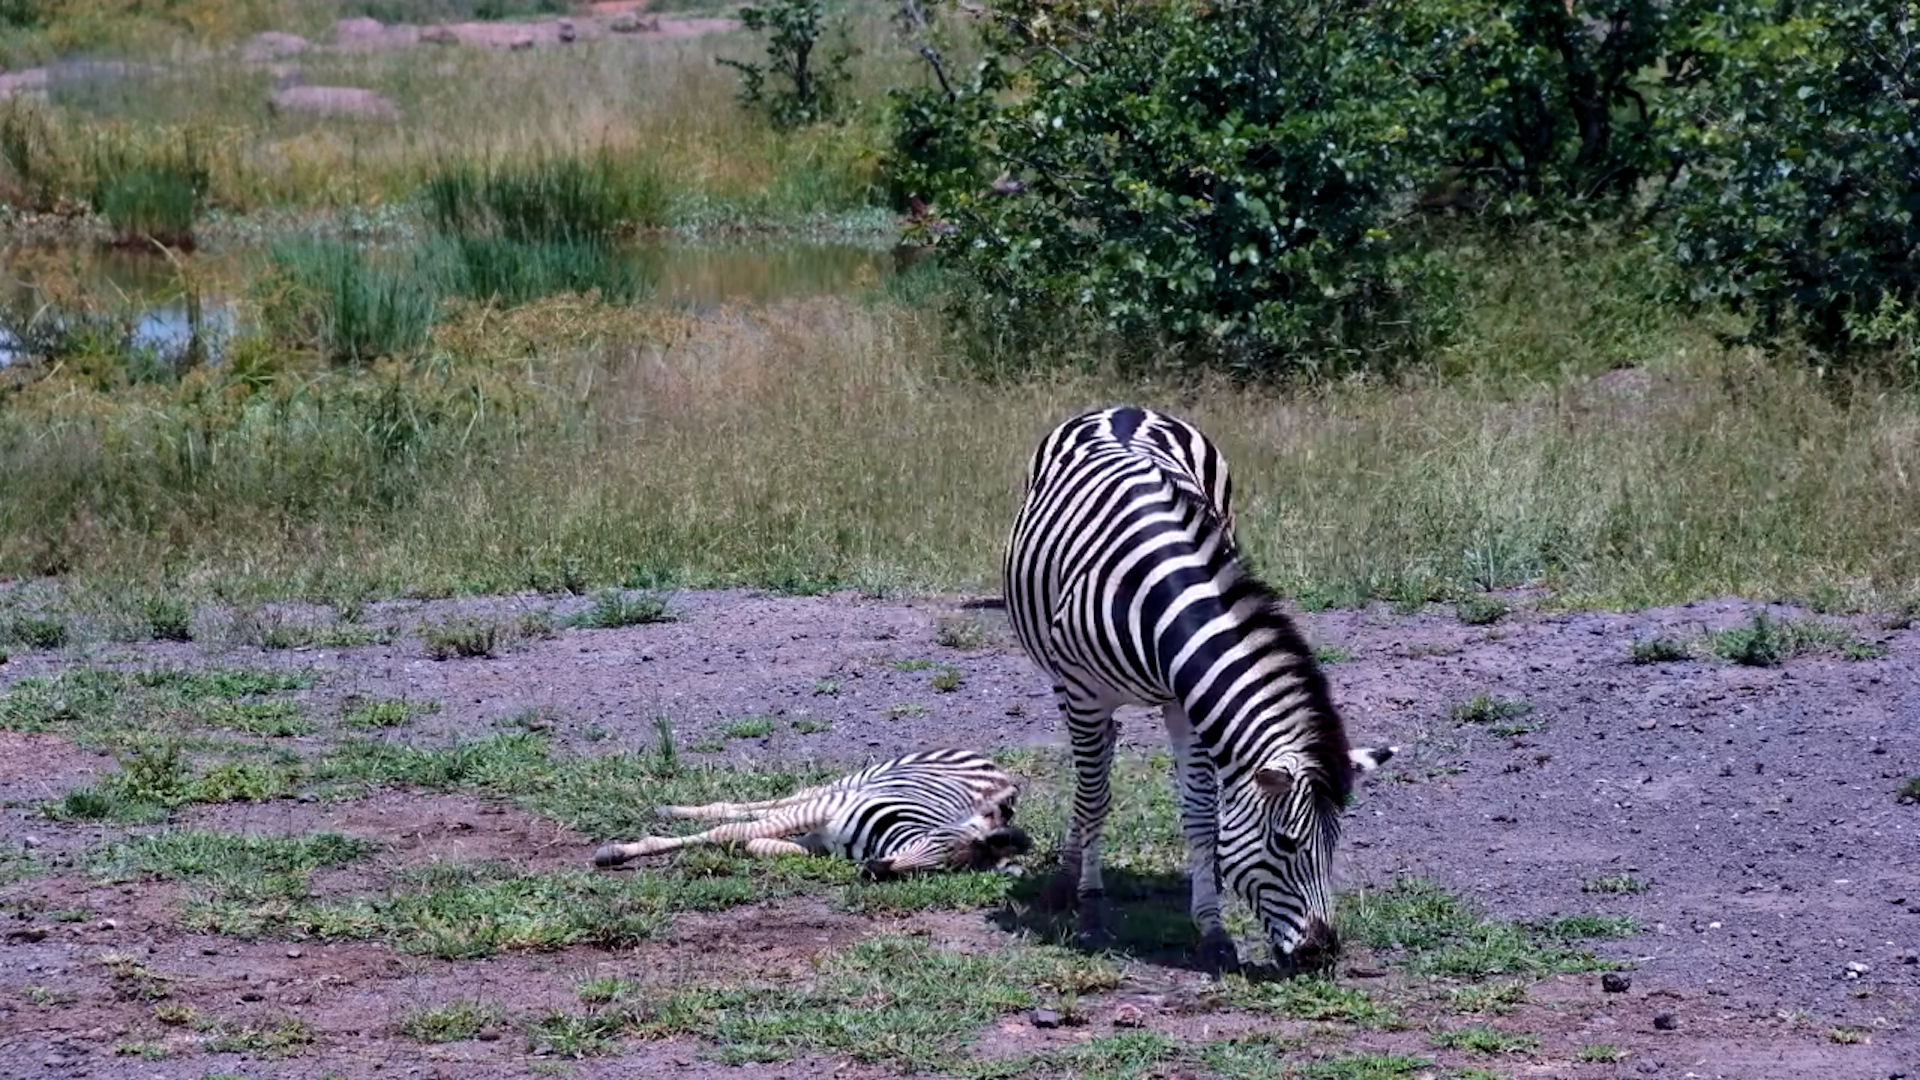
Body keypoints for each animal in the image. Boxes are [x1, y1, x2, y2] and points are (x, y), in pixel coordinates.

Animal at [590, 749, 1034, 881]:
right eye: (931, 841)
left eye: (937, 871)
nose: (874, 870)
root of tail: (996, 768)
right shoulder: (826, 812)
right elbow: (725, 832)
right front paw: (621, 851)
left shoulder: (819, 840)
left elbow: (760, 841)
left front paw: (757, 845)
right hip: (854, 782)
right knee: (781, 799)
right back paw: (673, 808)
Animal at [1002, 405, 1396, 976]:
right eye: (1286, 843)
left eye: (1334, 844)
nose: (1321, 953)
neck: (1154, 592)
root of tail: (1124, 407)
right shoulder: (1084, 692)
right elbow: (1094, 795)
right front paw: (1083, 898)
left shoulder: (1186, 701)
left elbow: (1201, 815)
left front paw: (1212, 931)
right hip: (1062, 679)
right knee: (1091, 773)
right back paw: (1075, 878)